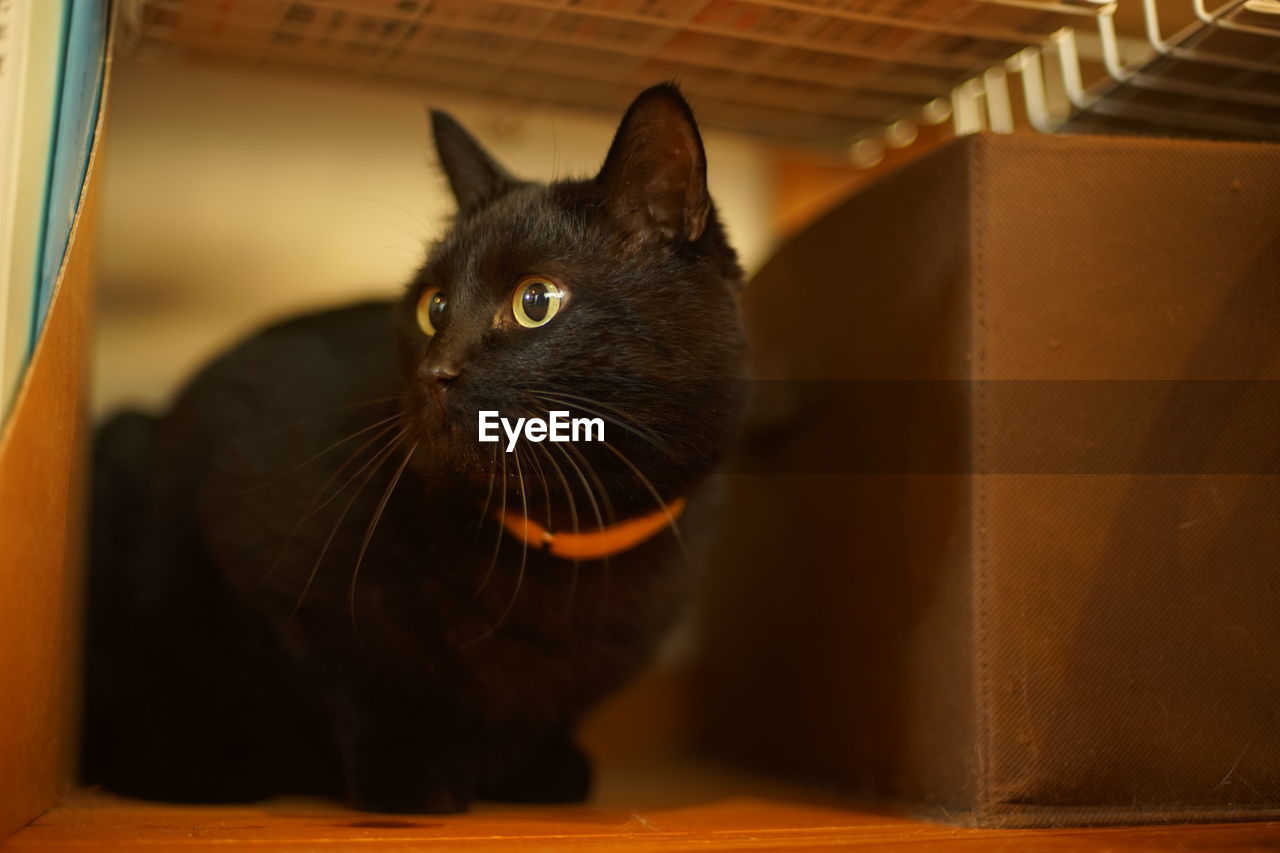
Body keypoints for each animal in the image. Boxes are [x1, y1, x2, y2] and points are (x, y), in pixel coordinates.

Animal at [82, 84, 747, 809]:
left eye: (536, 301)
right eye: (434, 307)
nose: (437, 371)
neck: (560, 532)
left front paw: (536, 769)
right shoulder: (262, 555)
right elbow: (355, 678)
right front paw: (411, 776)